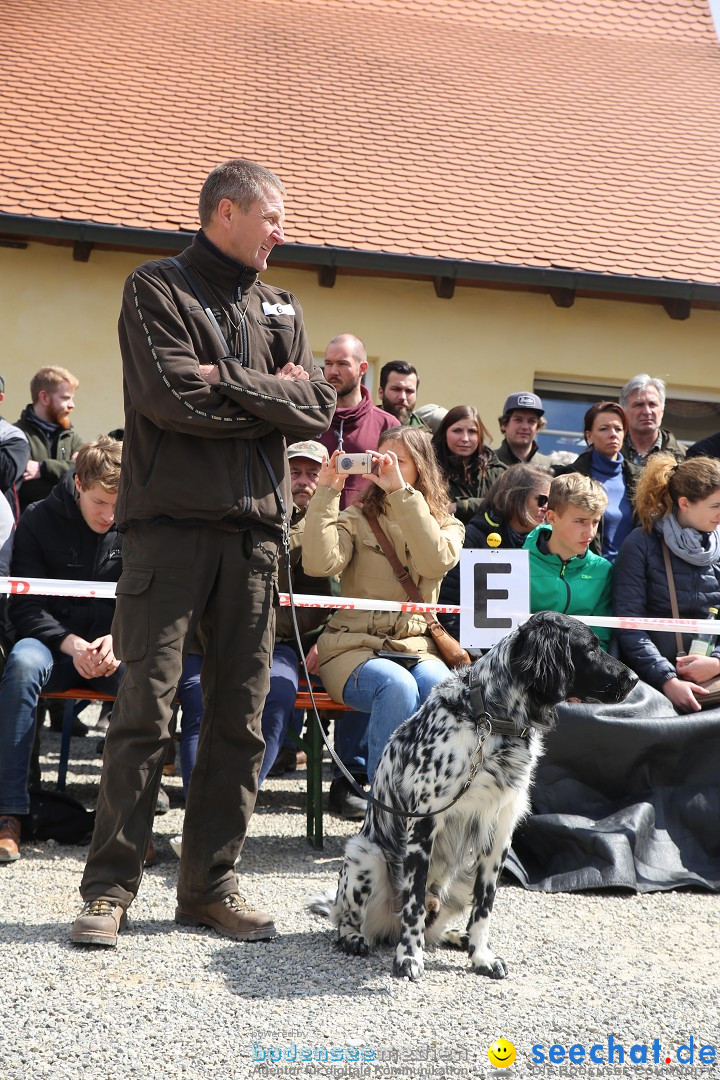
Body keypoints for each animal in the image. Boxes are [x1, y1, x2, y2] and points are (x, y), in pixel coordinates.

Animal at [310, 617, 634, 980]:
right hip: (366, 855)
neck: (489, 721)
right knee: (347, 917)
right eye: (590, 648)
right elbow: (413, 904)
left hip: (460, 874)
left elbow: (484, 908)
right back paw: (355, 937)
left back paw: (457, 937)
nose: (634, 679)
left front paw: (481, 956)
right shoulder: (424, 825)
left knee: (434, 927)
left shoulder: (500, 832)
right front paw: (408, 958)